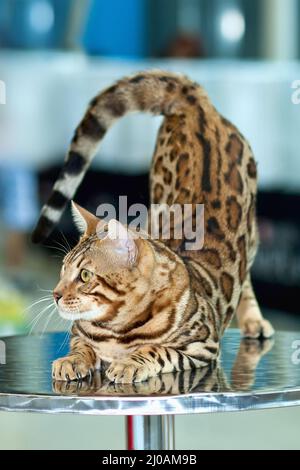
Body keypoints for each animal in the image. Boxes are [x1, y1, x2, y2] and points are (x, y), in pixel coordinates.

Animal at [31, 71, 274, 384]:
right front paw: (72, 360)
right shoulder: (78, 333)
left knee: (245, 275)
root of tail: (197, 103)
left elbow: (157, 350)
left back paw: (254, 320)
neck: (115, 327)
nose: (56, 294)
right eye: (63, 270)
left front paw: (130, 362)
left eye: (85, 275)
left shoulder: (202, 346)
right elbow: (81, 345)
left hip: (250, 229)